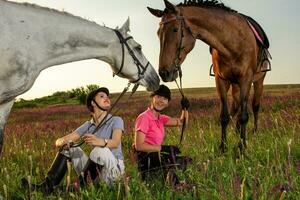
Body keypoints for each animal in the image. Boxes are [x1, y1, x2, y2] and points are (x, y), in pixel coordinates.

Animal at [148, 0, 272, 152]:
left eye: (175, 29)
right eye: (158, 33)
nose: (164, 73)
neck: (233, 40)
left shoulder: (246, 79)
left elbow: (244, 116)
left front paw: (242, 148)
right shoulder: (221, 81)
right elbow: (224, 116)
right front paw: (223, 148)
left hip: (258, 81)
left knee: (255, 106)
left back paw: (253, 132)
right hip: (235, 84)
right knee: (236, 106)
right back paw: (237, 132)